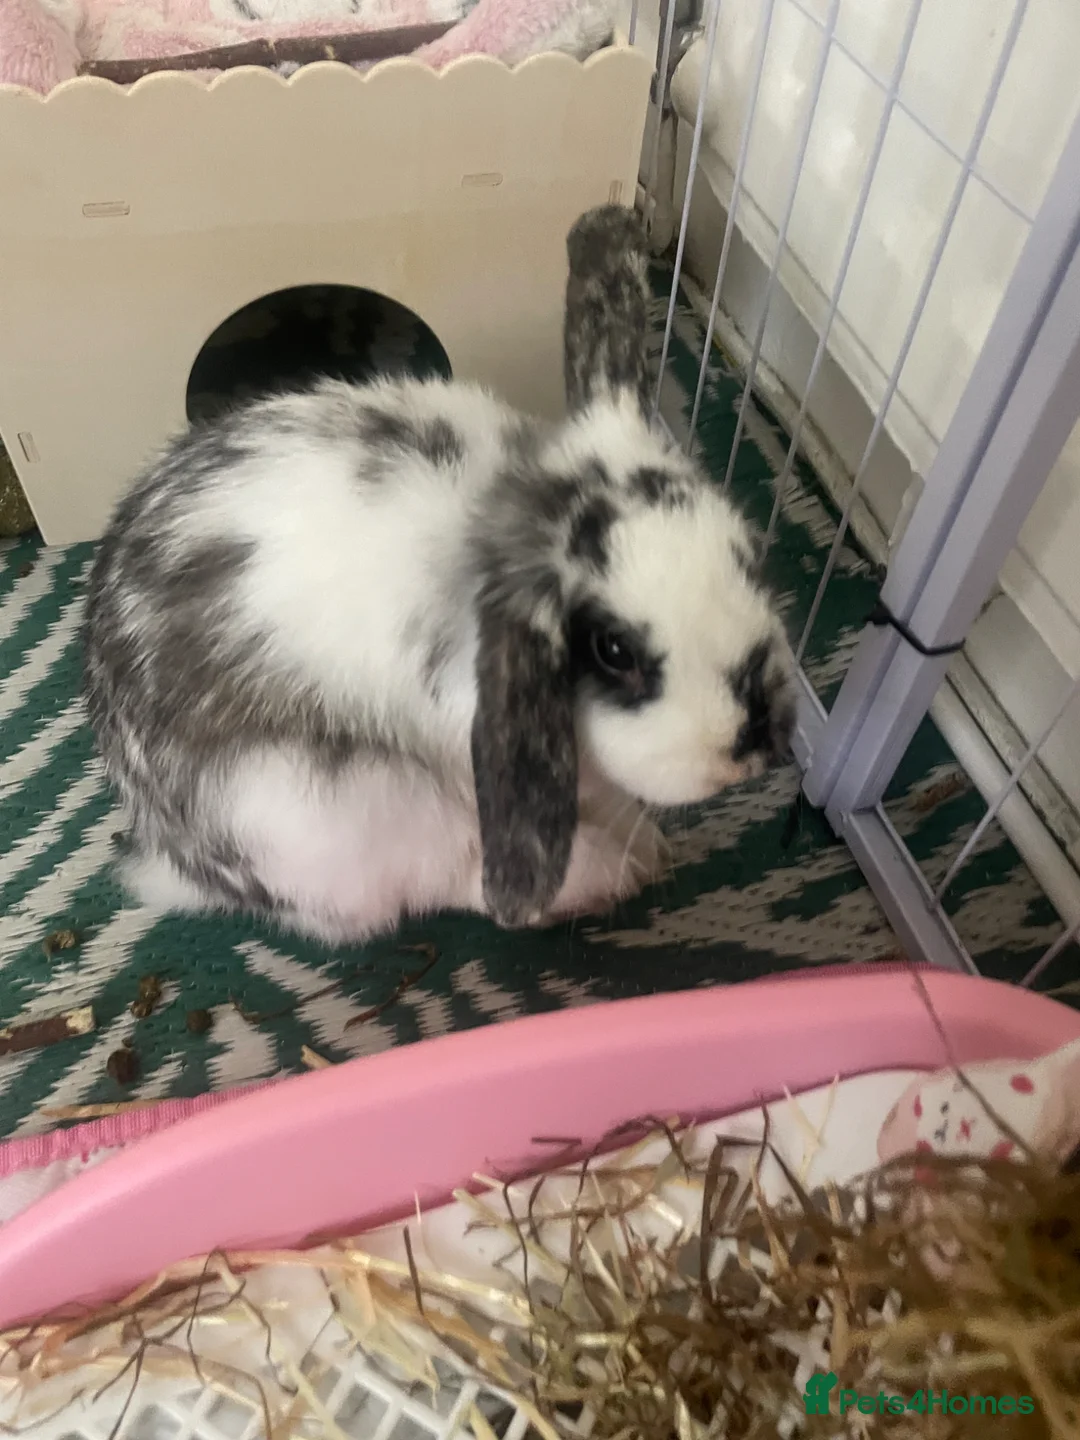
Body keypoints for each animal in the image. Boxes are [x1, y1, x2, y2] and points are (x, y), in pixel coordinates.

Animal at [82, 203, 796, 945]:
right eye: (614, 650)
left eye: (748, 554)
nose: (750, 744)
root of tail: (176, 863)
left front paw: (648, 834)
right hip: (334, 809)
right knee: (451, 875)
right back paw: (611, 876)